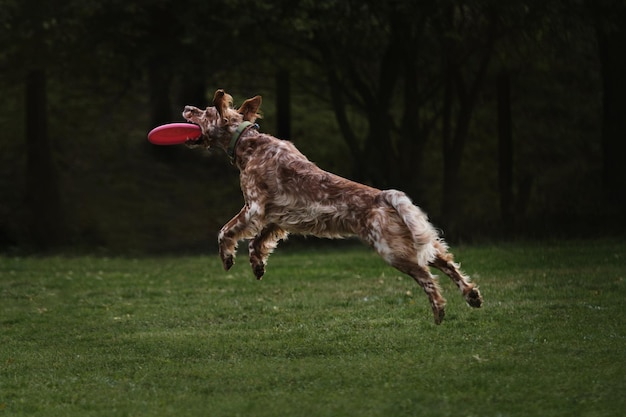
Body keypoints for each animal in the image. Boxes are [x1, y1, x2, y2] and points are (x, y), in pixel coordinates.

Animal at [183, 88, 480, 324]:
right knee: (448, 263)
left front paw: (227, 257)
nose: (186, 107)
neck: (249, 143)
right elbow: (257, 242)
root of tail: (385, 196)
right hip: (418, 240)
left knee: (427, 278)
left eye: (204, 111)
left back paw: (439, 311)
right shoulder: (277, 217)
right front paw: (257, 265)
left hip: (394, 251)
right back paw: (472, 295)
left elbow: (225, 231)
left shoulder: (254, 207)